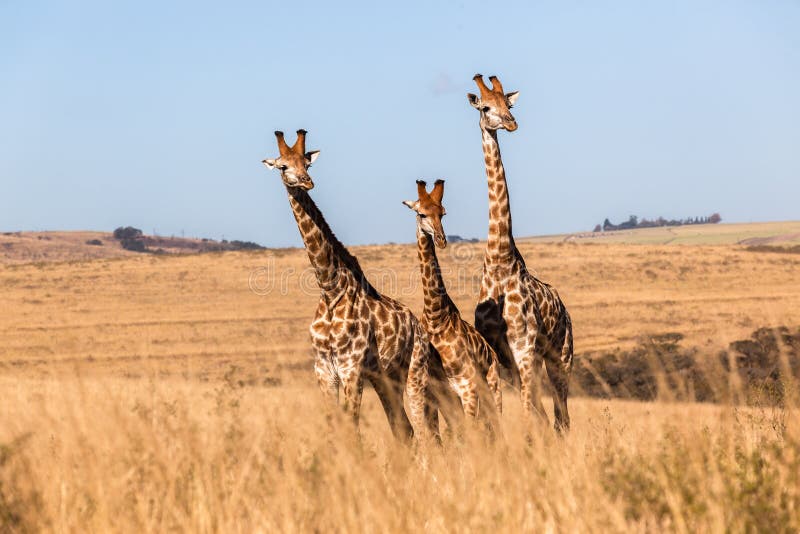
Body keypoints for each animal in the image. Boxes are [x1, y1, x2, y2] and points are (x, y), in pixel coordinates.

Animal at [262, 130, 438, 444]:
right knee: (402, 429)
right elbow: (334, 427)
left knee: (420, 429)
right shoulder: (324, 370)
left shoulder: (351, 368)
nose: (306, 181)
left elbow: (351, 429)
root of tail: (418, 326)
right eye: (283, 166)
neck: (330, 288)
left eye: (307, 163)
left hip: (414, 371)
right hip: (386, 378)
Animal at [404, 180, 504, 432]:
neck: (435, 317)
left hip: (492, 387)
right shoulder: (434, 392)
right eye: (421, 213)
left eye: (443, 213)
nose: (441, 240)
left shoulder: (468, 387)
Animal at [468, 75, 576, 434]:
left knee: (561, 417)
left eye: (508, 103)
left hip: (561, 357)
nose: (512, 123)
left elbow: (531, 414)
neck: (499, 260)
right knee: (549, 415)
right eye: (486, 108)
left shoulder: (524, 348)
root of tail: (565, 310)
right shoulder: (502, 355)